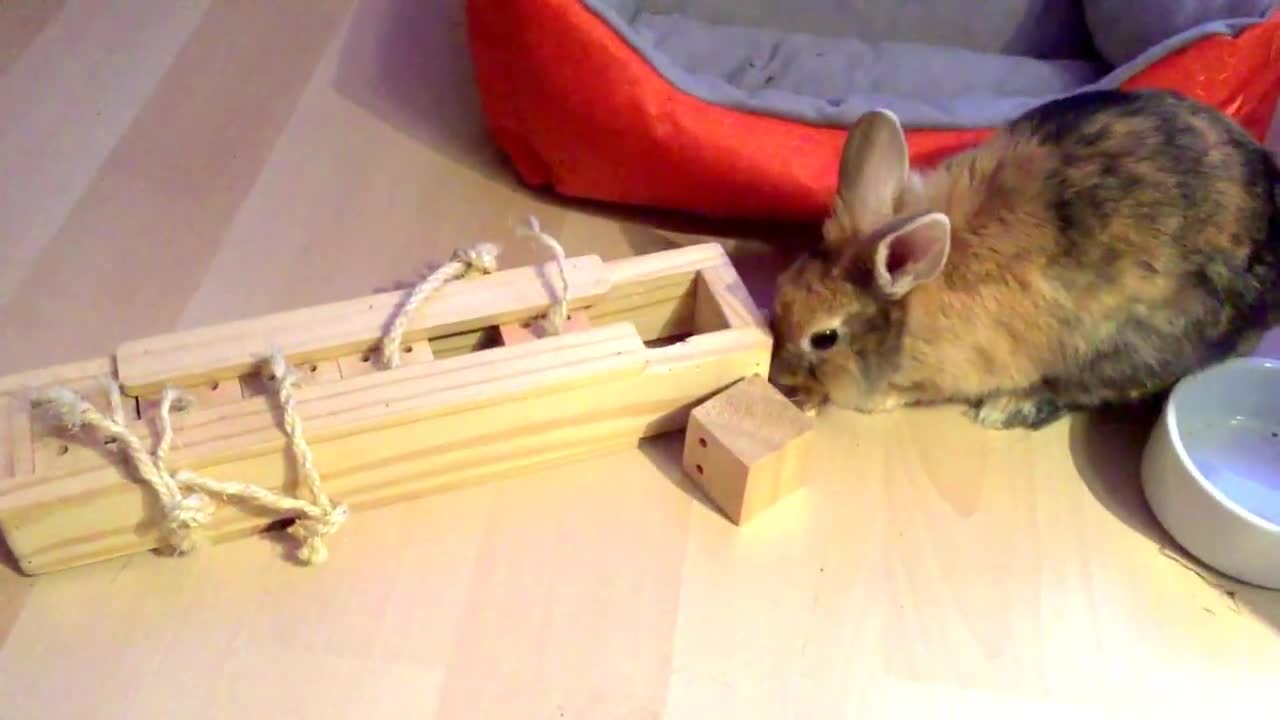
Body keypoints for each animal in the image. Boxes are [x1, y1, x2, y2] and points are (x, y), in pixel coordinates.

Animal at [762, 87, 1280, 427]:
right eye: (780, 290)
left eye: (824, 338)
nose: (777, 376)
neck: (911, 305)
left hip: (1129, 349)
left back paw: (1004, 409)